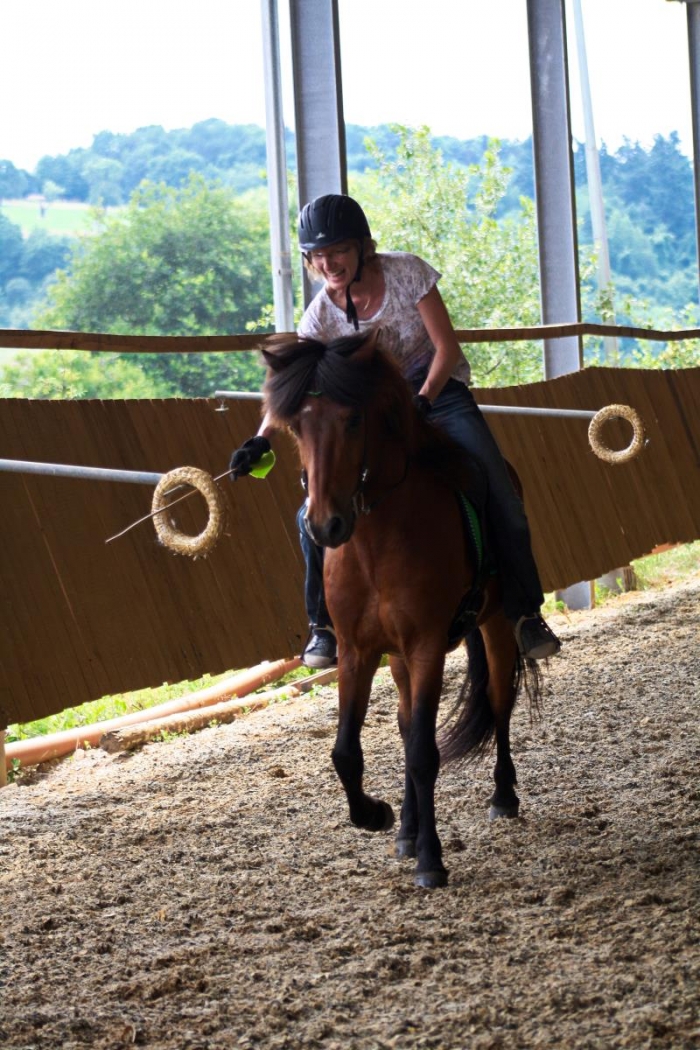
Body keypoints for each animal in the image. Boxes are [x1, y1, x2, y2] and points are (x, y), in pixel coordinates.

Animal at [262, 329, 541, 886]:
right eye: (297, 425)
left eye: (352, 419)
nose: (326, 526)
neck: (376, 540)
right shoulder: (359, 651)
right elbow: (348, 751)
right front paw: (377, 816)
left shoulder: (426, 645)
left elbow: (423, 754)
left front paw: (432, 860)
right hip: (395, 659)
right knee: (407, 722)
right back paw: (408, 831)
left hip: (494, 626)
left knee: (498, 702)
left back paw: (502, 796)